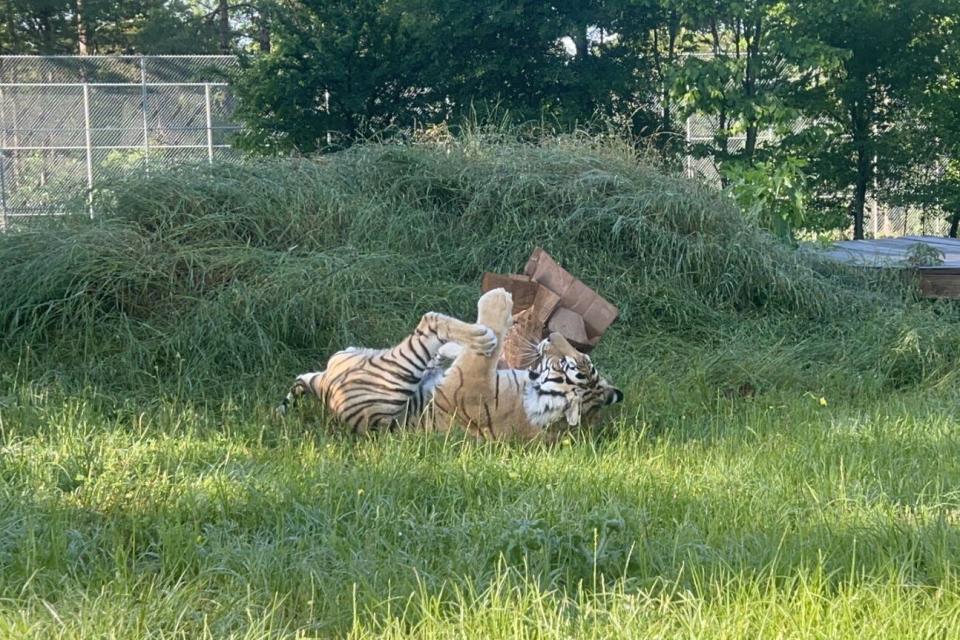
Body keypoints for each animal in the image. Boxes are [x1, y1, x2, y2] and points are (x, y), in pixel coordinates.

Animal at [278, 288, 624, 440]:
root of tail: (322, 385)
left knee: (430, 322)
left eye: (565, 364)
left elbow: (488, 343)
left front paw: (496, 308)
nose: (552, 336)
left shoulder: (473, 380)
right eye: (580, 361)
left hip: (386, 383)